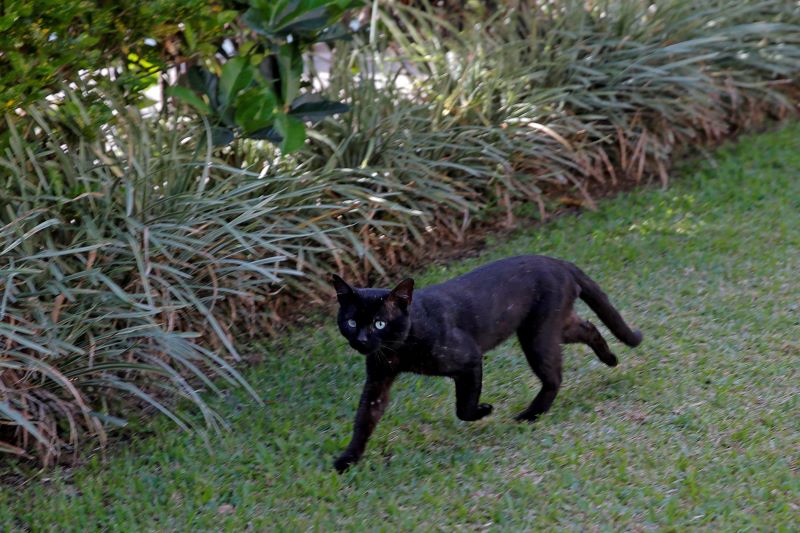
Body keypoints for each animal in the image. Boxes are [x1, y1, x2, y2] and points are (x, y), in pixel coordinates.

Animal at [328, 256, 640, 472]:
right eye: (352, 322)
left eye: (379, 323)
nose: (361, 340)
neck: (398, 350)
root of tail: (557, 261)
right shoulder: (378, 380)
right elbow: (364, 420)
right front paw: (347, 460)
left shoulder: (469, 359)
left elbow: (463, 408)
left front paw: (485, 410)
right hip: (553, 328)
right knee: (588, 327)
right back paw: (610, 359)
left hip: (537, 336)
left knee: (554, 377)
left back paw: (530, 415)